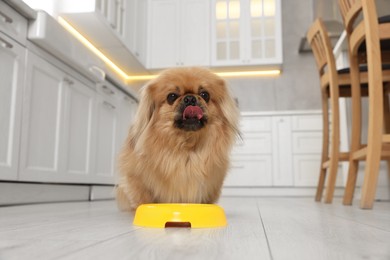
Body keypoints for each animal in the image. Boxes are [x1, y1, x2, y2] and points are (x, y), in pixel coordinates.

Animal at [114, 66, 239, 211]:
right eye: (172, 96)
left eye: (205, 95)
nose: (190, 98)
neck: (186, 148)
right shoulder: (136, 177)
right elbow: (143, 196)